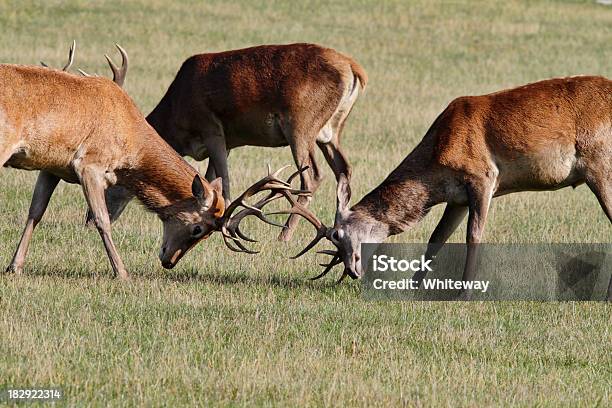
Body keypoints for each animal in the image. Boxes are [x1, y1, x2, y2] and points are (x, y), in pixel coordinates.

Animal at [1, 51, 298, 278]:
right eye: (198, 229)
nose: (169, 261)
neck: (131, 148)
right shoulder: (89, 165)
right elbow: (102, 219)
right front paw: (122, 273)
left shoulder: (52, 166)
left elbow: (35, 212)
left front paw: (14, 266)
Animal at [94, 43, 368, 242]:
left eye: (113, 181)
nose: (89, 218)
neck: (177, 117)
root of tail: (355, 69)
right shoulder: (225, 143)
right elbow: (210, 180)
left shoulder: (213, 129)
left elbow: (224, 182)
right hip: (330, 132)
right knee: (343, 170)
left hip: (301, 125)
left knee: (311, 176)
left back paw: (285, 235)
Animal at [284, 75, 612, 298]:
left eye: (338, 235)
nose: (352, 271)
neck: (434, 169)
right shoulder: (457, 198)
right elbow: (436, 238)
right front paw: (413, 286)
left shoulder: (483, 177)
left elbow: (473, 235)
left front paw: (464, 292)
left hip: (601, 165)